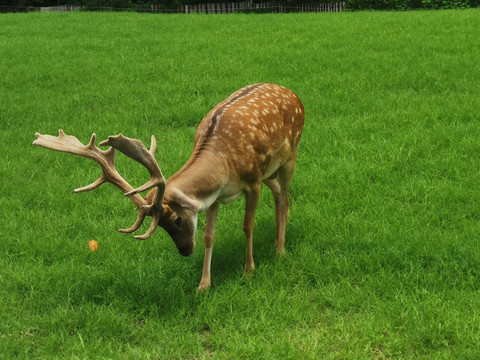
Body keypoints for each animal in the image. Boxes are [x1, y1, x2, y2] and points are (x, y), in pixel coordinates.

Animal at [33, 83, 304, 292]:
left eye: (176, 219)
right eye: (161, 226)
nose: (184, 251)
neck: (224, 168)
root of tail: (292, 93)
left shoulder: (253, 181)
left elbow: (248, 226)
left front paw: (248, 272)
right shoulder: (214, 197)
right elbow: (208, 236)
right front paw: (203, 285)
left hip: (289, 157)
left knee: (285, 196)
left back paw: (280, 249)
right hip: (271, 169)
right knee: (279, 192)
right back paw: (279, 238)